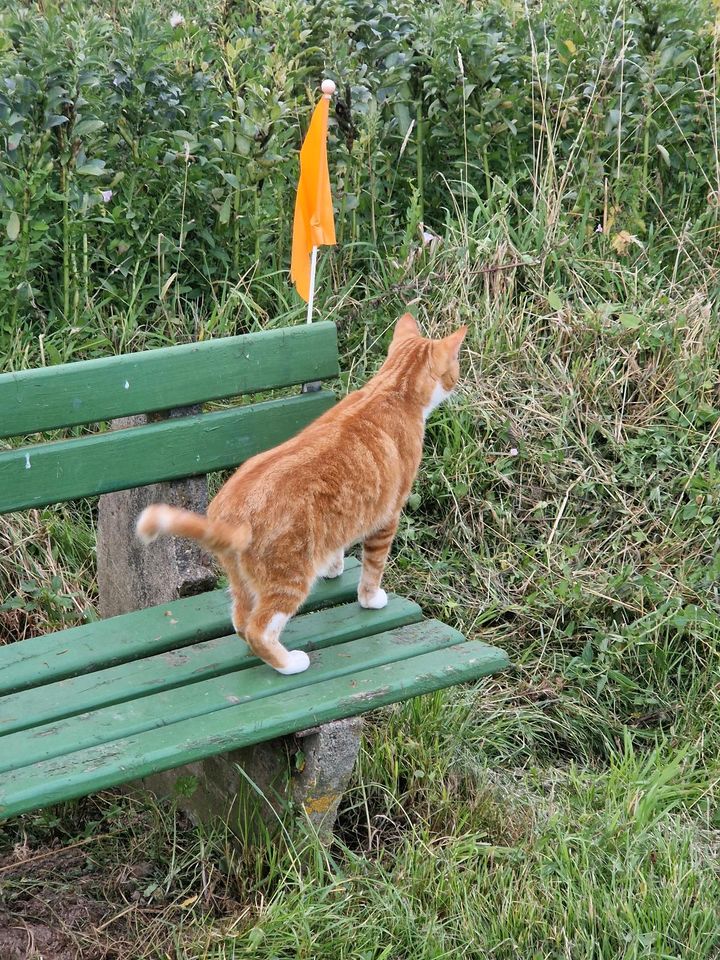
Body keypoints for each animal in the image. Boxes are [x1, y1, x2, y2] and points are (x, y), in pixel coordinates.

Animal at [136, 316, 466, 676]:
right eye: (455, 366)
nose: (458, 381)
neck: (392, 388)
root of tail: (230, 519)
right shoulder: (387, 518)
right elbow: (373, 568)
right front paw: (371, 598)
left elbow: (336, 544)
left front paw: (333, 567)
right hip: (289, 580)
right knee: (259, 628)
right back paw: (289, 663)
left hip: (242, 581)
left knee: (240, 620)